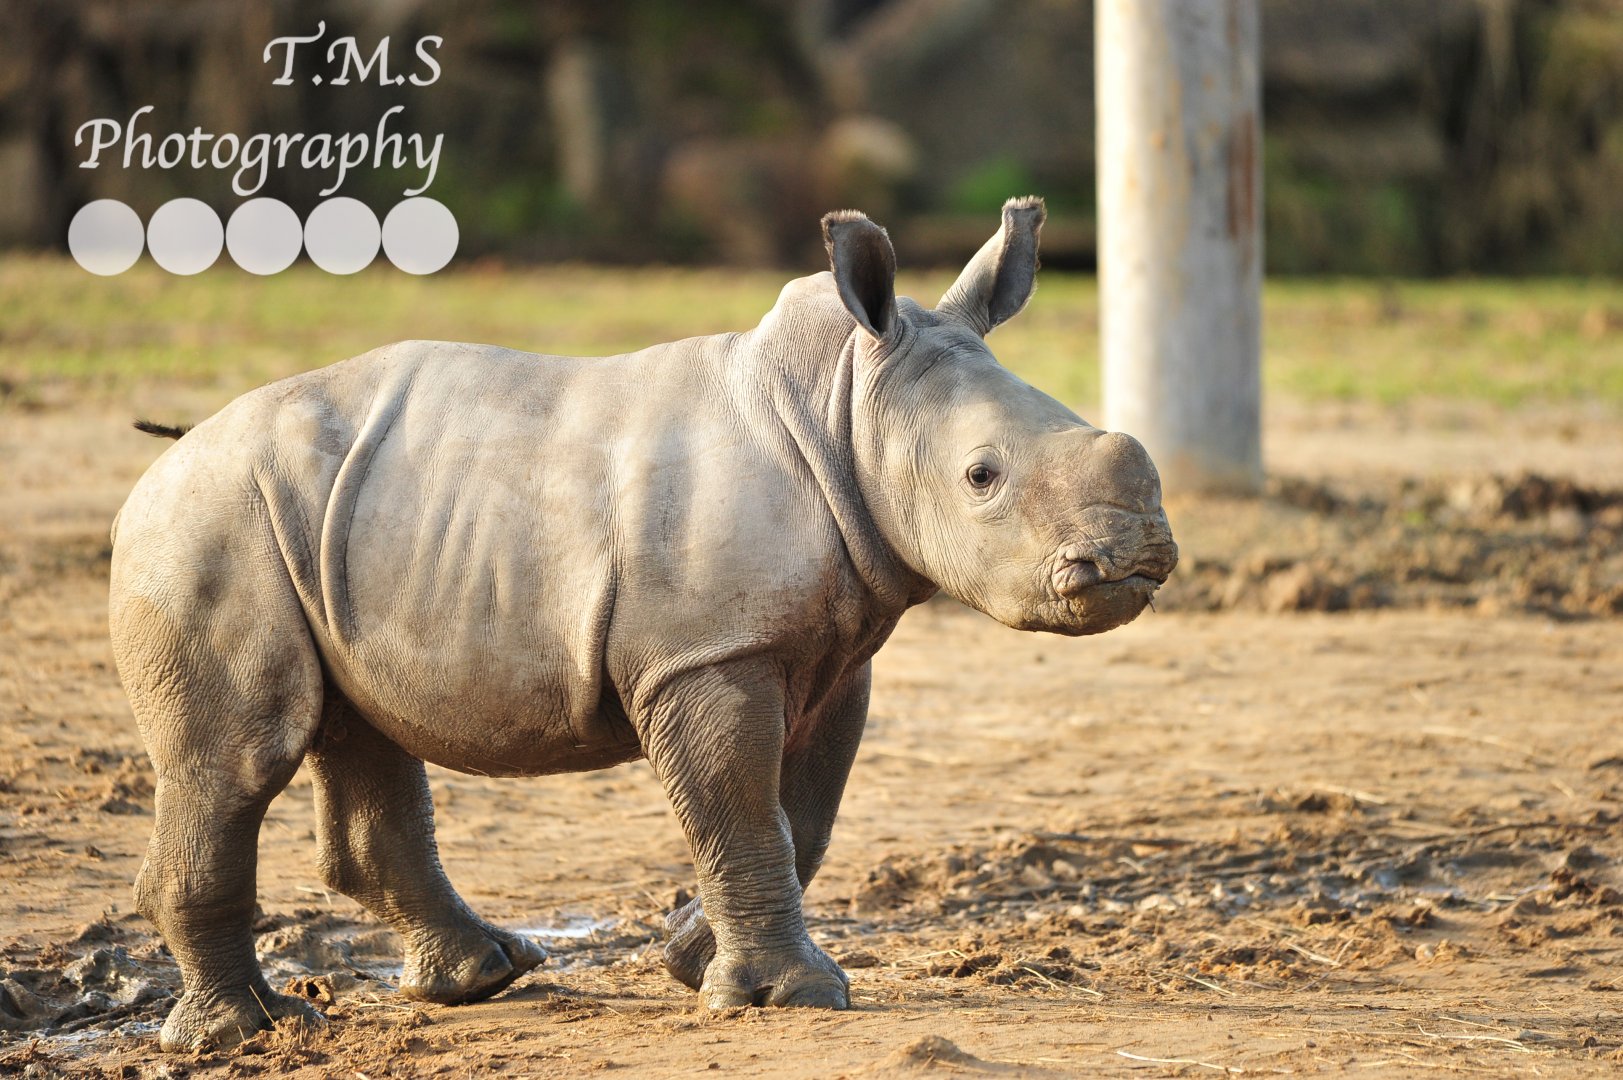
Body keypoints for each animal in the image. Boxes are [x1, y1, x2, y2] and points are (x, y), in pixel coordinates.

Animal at [110, 197, 1177, 1051]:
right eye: (981, 476)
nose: (1136, 556)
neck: (842, 405)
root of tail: (164, 461)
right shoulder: (703, 652)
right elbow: (743, 809)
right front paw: (790, 997)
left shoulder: (830, 651)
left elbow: (802, 816)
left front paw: (688, 954)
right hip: (207, 524)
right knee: (239, 758)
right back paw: (249, 1031)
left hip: (325, 522)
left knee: (360, 730)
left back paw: (484, 976)